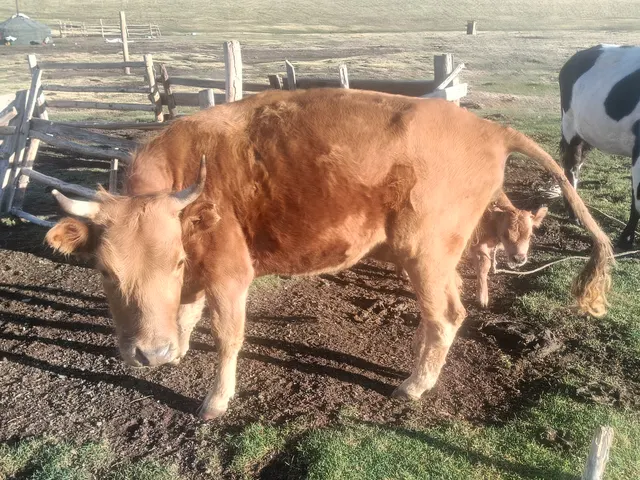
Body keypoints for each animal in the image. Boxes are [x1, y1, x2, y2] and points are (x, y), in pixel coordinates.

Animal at [44, 88, 613, 420]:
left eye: (175, 261)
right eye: (105, 271)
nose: (148, 354)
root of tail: (488, 128)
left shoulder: (229, 274)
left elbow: (228, 338)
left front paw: (215, 401)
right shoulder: (201, 274)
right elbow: (185, 312)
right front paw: (177, 349)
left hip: (426, 255)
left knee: (447, 315)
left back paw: (414, 386)